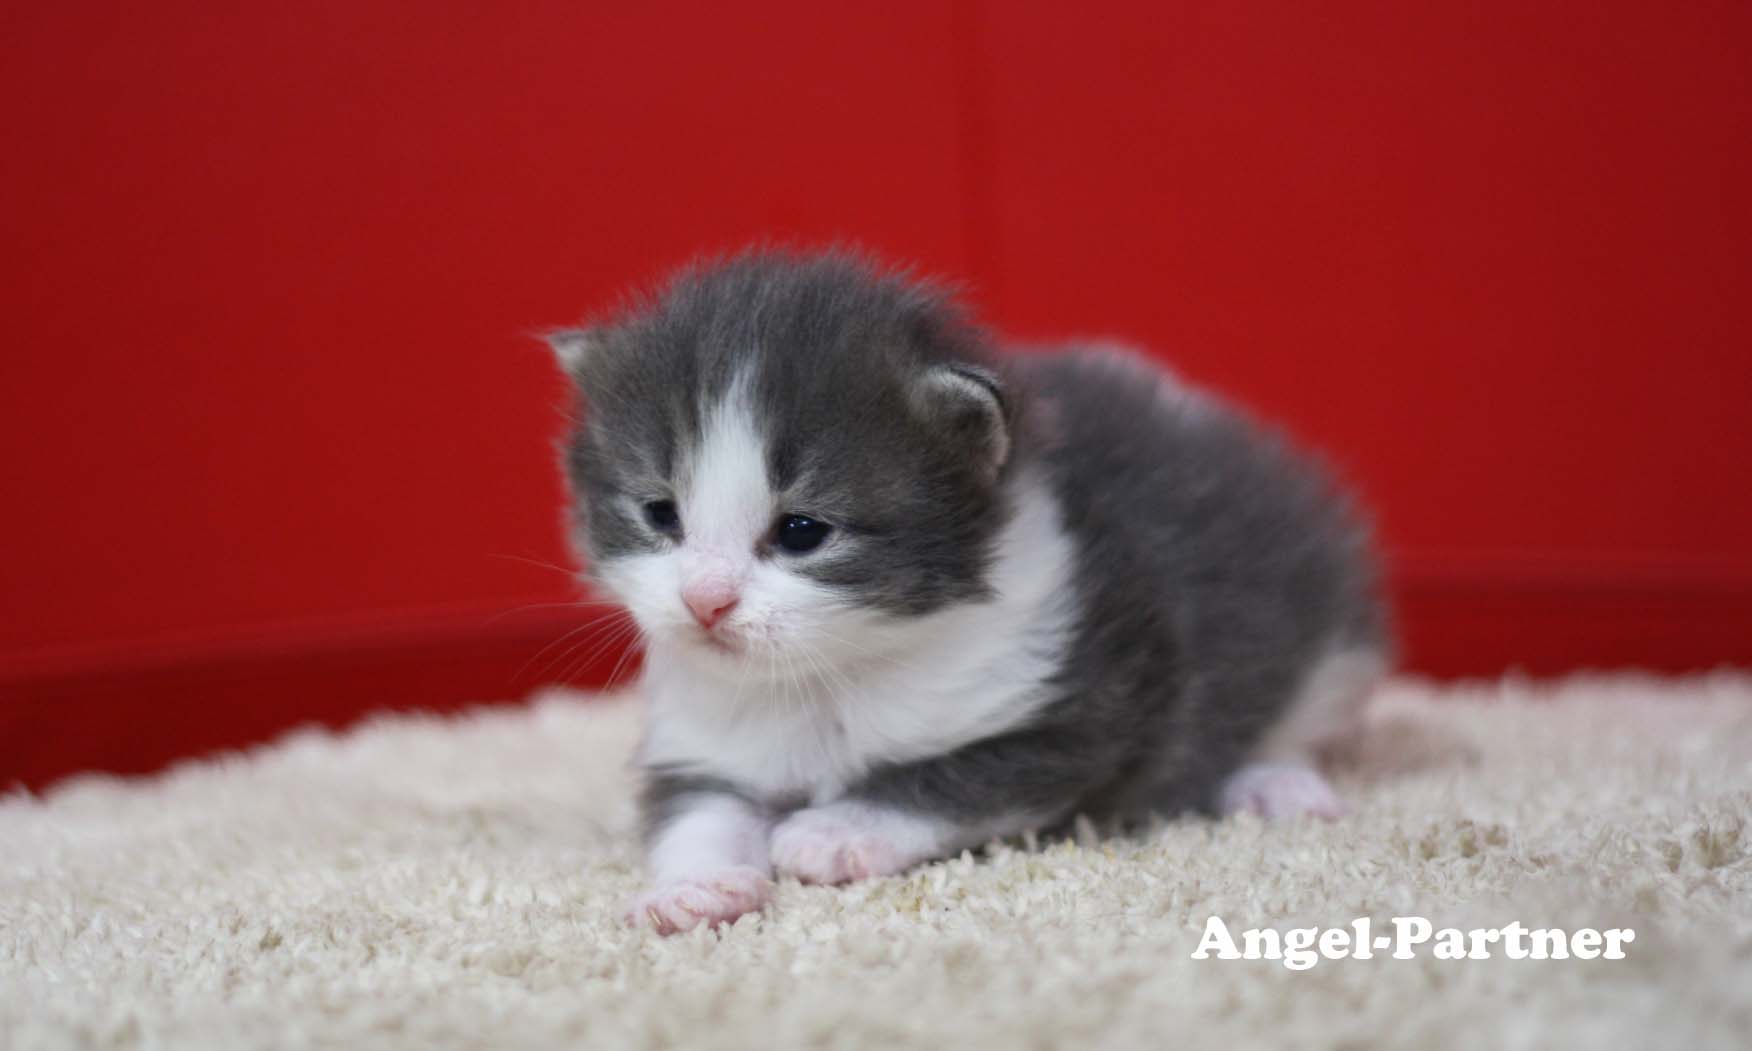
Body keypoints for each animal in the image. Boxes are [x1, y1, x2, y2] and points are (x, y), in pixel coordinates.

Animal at [539, 250, 1387, 931]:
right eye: (660, 513)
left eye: (803, 530)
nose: (705, 600)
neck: (826, 676)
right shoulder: (705, 738)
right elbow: (698, 811)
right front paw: (696, 888)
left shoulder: (1082, 703)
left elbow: (949, 779)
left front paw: (834, 829)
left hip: (1325, 637)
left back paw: (1276, 782)